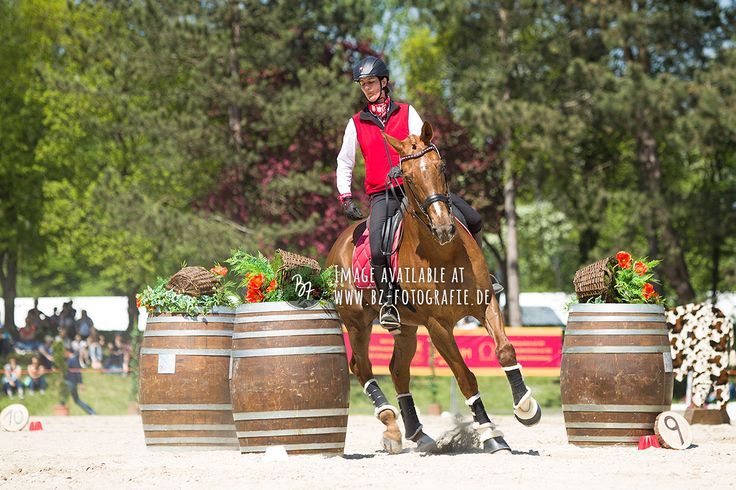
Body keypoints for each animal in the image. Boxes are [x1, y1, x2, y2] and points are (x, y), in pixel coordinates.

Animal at [326, 120, 540, 454]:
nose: (443, 227)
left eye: (441, 167)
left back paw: (417, 433)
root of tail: (342, 241)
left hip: (406, 328)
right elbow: (465, 378)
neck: (443, 253)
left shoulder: (486, 304)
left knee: (397, 370)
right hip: (358, 323)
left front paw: (526, 407)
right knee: (361, 367)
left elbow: (505, 351)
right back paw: (390, 425)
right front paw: (490, 433)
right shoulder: (439, 327)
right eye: (408, 177)